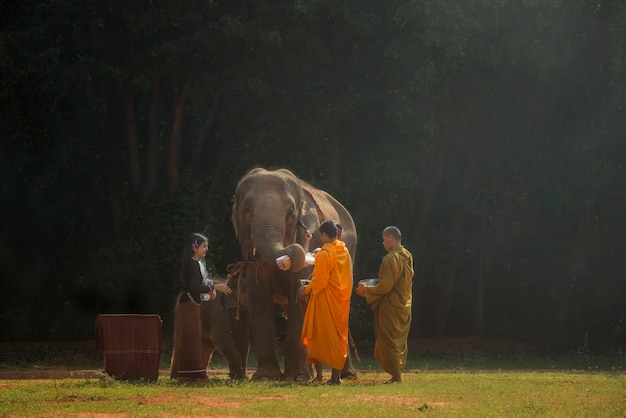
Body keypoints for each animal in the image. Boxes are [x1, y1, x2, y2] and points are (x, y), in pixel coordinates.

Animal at [229, 167, 356, 382]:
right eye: (247, 210)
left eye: (291, 213)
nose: (308, 237)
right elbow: (259, 299)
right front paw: (266, 377)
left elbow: (297, 291)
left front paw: (295, 377)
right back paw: (313, 374)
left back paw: (345, 375)